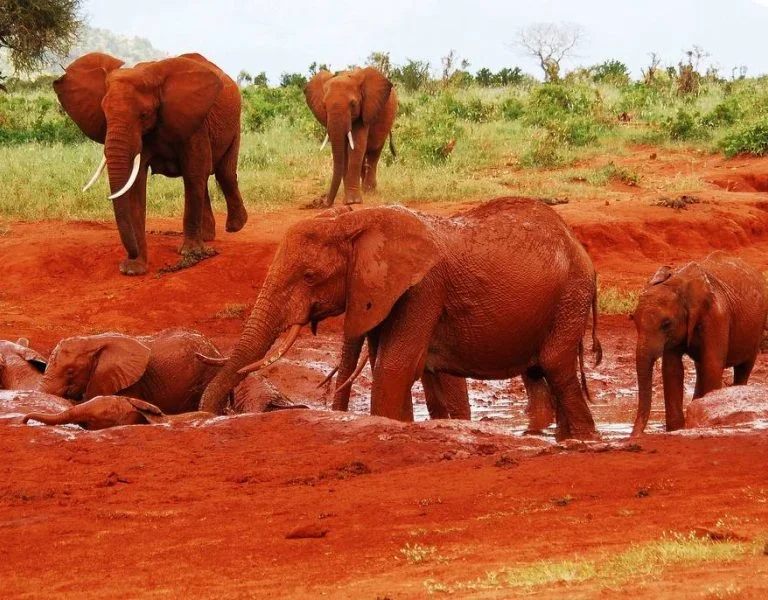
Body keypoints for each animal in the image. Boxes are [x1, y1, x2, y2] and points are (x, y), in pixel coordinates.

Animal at [53, 52, 249, 275]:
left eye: (144, 115)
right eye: (104, 114)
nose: (131, 254)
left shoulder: (194, 124)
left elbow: (194, 172)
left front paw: (190, 253)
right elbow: (136, 184)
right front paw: (134, 269)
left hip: (234, 124)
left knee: (222, 173)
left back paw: (235, 226)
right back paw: (208, 237)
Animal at [200, 197, 602, 441]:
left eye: (310, 276)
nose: (208, 415)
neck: (356, 220)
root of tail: (576, 243)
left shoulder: (423, 289)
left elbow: (395, 366)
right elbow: (404, 366)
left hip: (571, 294)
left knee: (555, 364)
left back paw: (584, 439)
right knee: (538, 372)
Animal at [305, 67, 397, 207]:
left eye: (353, 104)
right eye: (324, 106)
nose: (322, 203)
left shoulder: (364, 109)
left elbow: (356, 146)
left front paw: (353, 202)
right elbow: (344, 151)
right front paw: (349, 200)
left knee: (374, 152)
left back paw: (369, 190)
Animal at [631, 251, 768, 436]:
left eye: (666, 324)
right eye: (633, 320)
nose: (634, 436)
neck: (678, 283)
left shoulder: (716, 316)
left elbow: (712, 365)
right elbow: (672, 370)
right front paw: (676, 429)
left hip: (756, 328)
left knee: (743, 368)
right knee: (700, 367)